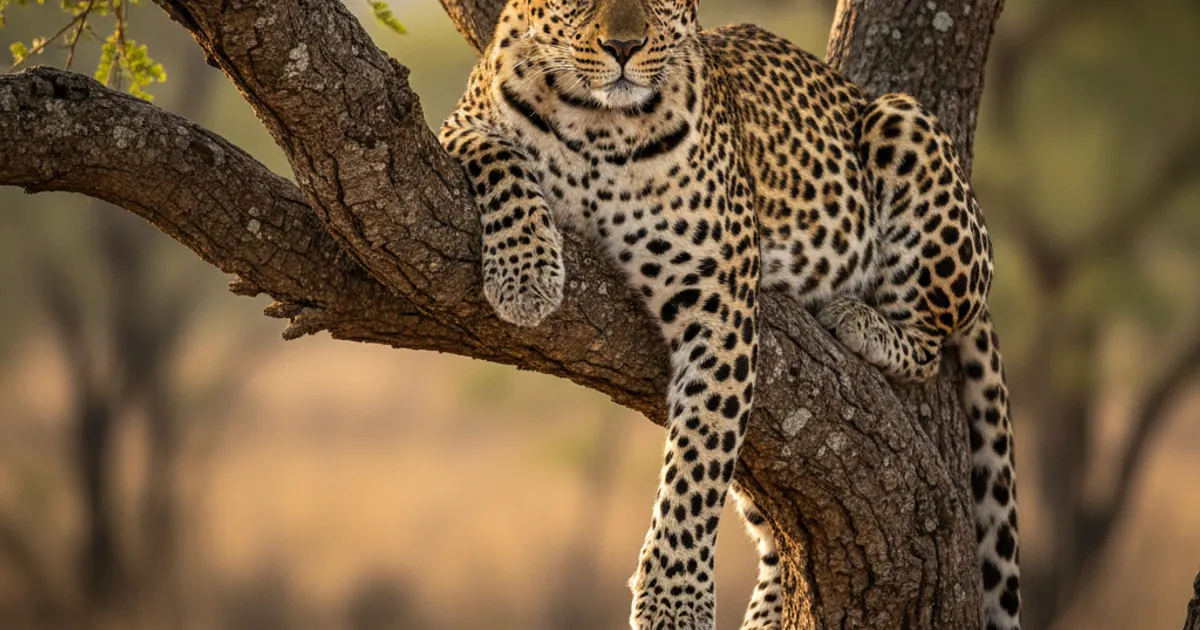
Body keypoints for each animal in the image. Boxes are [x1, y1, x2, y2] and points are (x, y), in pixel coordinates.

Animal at [439, 1, 1020, 628]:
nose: (624, 47)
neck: (598, 121)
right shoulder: (458, 125)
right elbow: (501, 155)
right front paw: (525, 273)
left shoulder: (718, 297)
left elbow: (700, 456)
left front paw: (673, 600)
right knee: (775, 535)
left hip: (904, 123)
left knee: (932, 342)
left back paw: (859, 321)